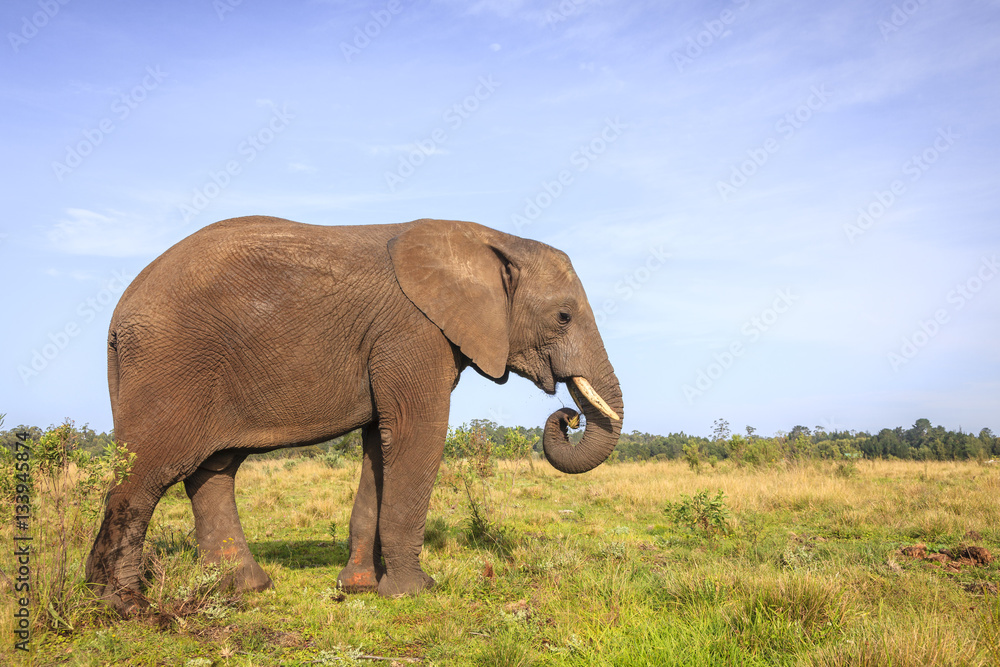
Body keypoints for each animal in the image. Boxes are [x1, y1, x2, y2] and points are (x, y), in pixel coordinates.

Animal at [85, 216, 623, 613]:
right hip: (171, 363)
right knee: (145, 478)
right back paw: (126, 607)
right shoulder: (413, 332)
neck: (492, 240)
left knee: (213, 471)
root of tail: (119, 312)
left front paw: (360, 587)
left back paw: (244, 589)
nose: (568, 418)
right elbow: (415, 433)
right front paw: (415, 592)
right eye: (563, 317)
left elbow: (378, 447)